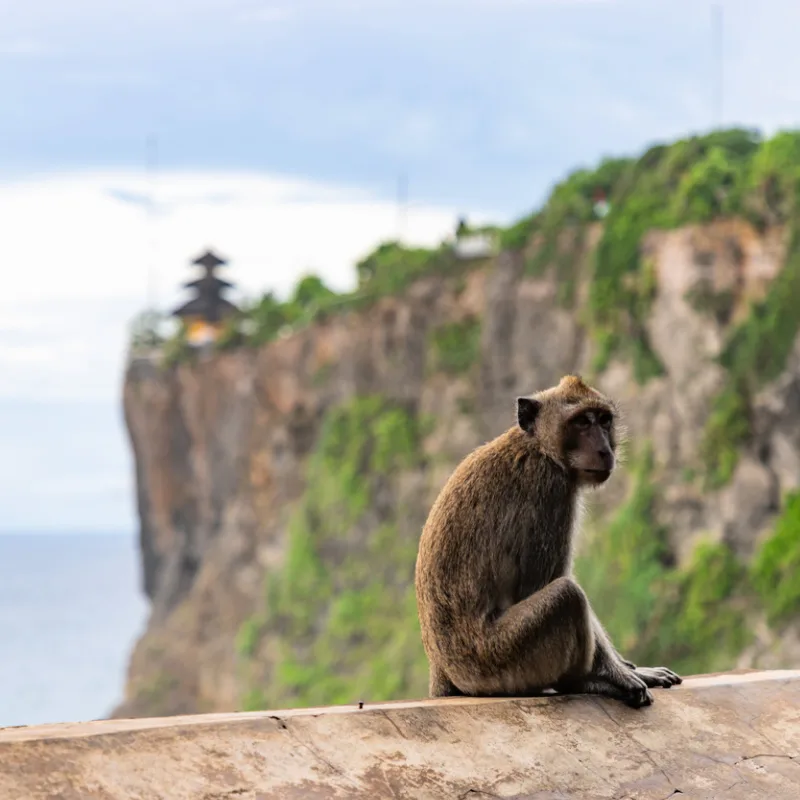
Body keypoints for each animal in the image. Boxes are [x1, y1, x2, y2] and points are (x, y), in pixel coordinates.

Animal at [414, 374, 682, 709]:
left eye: (603, 420)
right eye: (581, 422)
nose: (605, 450)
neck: (538, 446)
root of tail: (443, 671)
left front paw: (631, 668)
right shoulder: (550, 490)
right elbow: (541, 583)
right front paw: (616, 672)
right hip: (498, 660)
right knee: (567, 595)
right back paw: (584, 680)